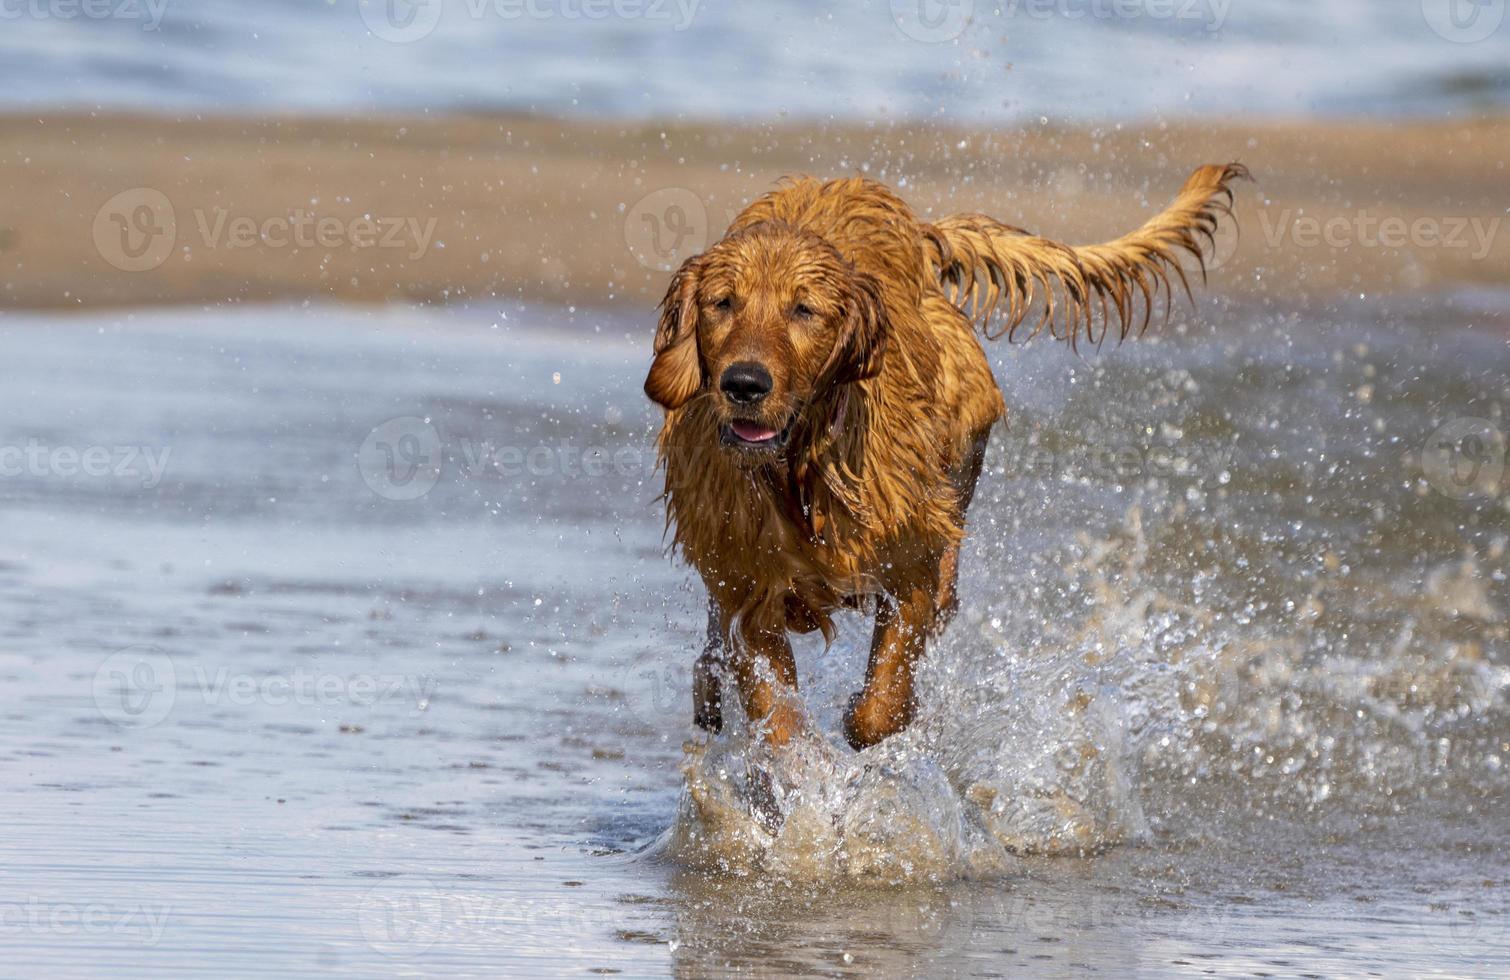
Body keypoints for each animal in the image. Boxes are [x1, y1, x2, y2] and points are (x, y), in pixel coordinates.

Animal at [643, 168, 1244, 748]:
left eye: (803, 310)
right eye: (724, 303)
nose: (744, 383)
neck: (798, 474)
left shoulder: (909, 560)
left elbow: (880, 705)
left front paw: (874, 717)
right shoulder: (749, 589)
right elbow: (778, 717)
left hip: (963, 431)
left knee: (950, 549)